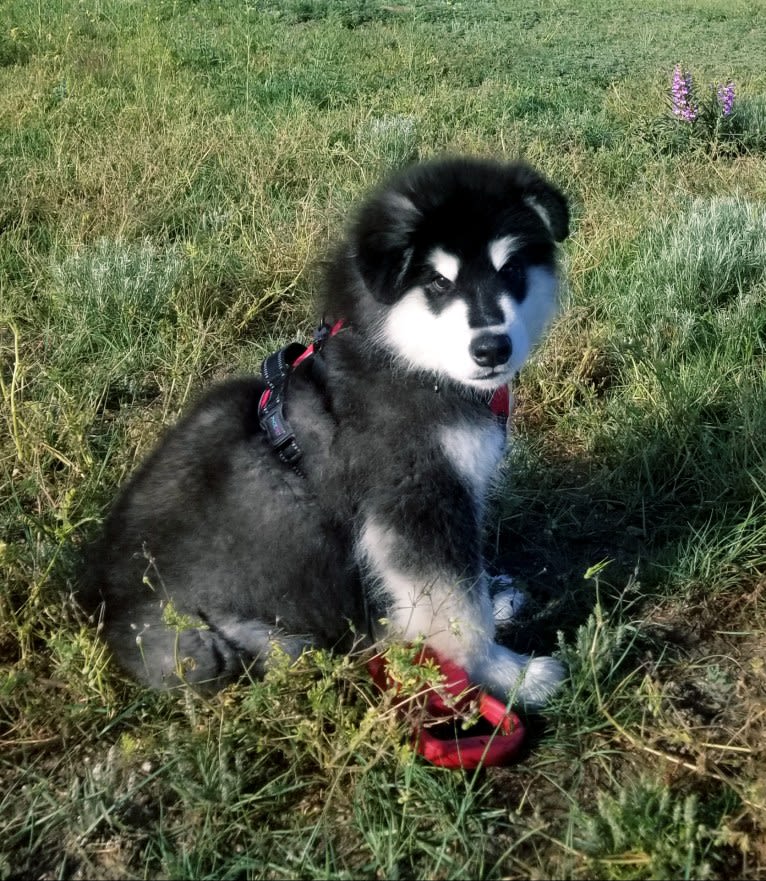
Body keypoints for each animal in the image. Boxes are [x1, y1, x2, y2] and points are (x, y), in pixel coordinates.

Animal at [87, 156, 572, 708]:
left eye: (510, 270)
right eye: (438, 283)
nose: (492, 348)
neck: (407, 361)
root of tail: (114, 619)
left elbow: (464, 590)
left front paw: (494, 611)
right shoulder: (416, 500)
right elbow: (460, 611)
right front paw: (508, 674)